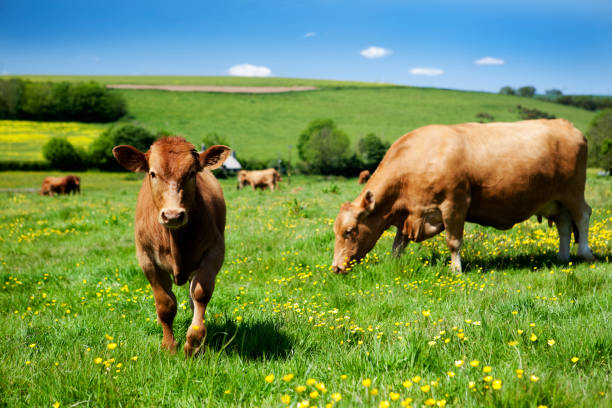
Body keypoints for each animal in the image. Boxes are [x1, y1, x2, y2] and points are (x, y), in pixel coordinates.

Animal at [113, 136, 231, 354]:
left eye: (192, 173)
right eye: (153, 173)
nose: (173, 215)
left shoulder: (215, 251)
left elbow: (200, 294)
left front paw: (194, 343)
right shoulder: (147, 259)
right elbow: (165, 304)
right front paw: (169, 345)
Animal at [332, 119, 596, 276]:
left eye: (350, 231)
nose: (335, 268)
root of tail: (564, 124)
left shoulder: (454, 204)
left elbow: (453, 241)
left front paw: (456, 270)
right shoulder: (410, 212)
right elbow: (399, 244)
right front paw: (395, 264)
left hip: (574, 191)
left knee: (583, 215)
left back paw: (584, 252)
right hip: (556, 200)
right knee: (564, 225)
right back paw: (562, 257)